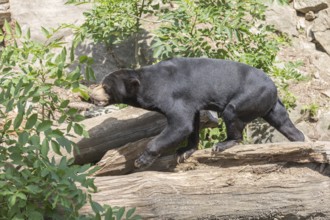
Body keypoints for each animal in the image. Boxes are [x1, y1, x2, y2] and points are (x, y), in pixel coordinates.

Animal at [89, 57, 304, 169]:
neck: (147, 84)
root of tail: (274, 89)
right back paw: (300, 140)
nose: (91, 95)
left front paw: (142, 160)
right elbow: (191, 124)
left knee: (231, 113)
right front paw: (184, 151)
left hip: (249, 96)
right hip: (268, 105)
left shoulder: (173, 96)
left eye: (106, 87)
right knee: (284, 123)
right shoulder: (191, 102)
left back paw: (224, 144)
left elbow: (180, 124)